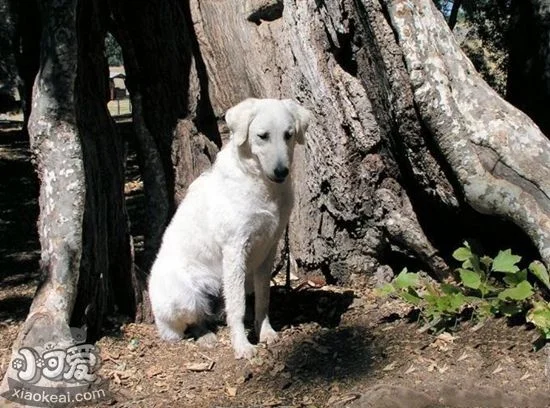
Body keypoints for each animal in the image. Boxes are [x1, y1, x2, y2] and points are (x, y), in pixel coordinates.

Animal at [148, 97, 310, 358]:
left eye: (289, 135)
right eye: (262, 136)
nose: (281, 172)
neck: (262, 185)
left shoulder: (269, 249)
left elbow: (263, 299)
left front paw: (265, 332)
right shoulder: (235, 249)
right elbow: (237, 307)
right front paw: (242, 345)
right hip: (185, 295)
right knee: (191, 323)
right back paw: (205, 336)